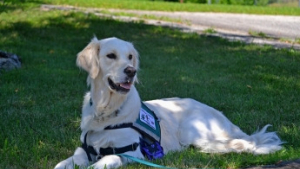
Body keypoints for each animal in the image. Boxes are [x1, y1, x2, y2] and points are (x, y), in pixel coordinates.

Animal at [54, 37, 284, 169]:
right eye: (111, 55)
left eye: (130, 56)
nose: (131, 71)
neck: (107, 111)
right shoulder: (85, 149)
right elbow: (64, 162)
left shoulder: (131, 152)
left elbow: (105, 161)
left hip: (194, 132)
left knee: (241, 144)